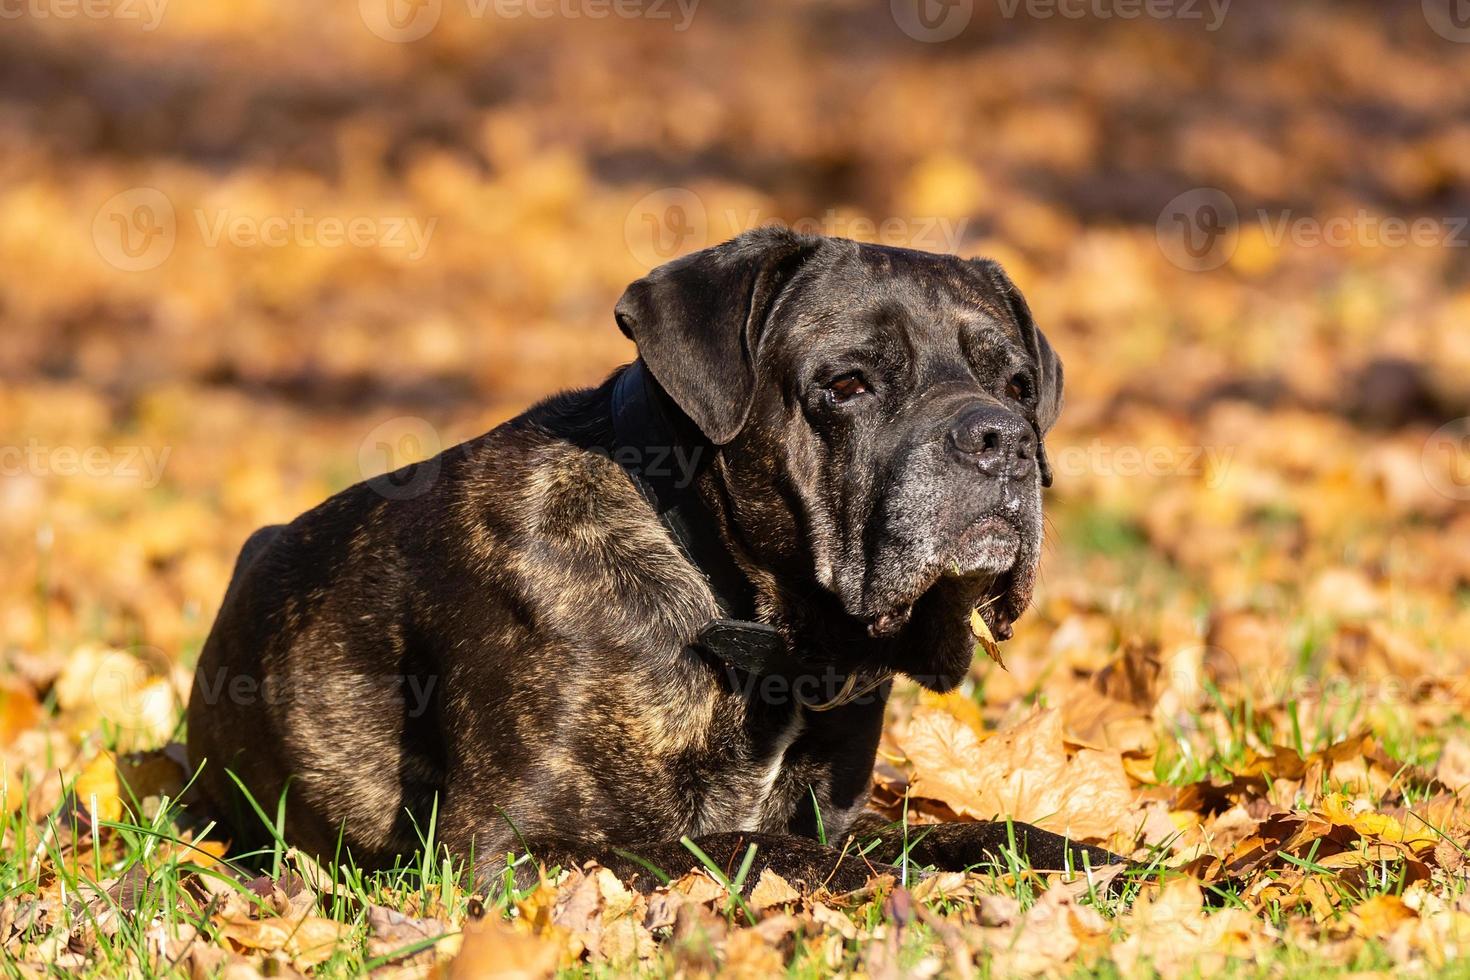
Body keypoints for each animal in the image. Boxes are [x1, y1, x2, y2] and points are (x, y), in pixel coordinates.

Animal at [189, 227, 1117, 887]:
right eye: (848, 384)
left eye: (1019, 387)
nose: (1000, 437)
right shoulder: (500, 847)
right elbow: (750, 850)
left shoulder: (838, 813)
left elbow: (958, 833)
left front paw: (1103, 862)